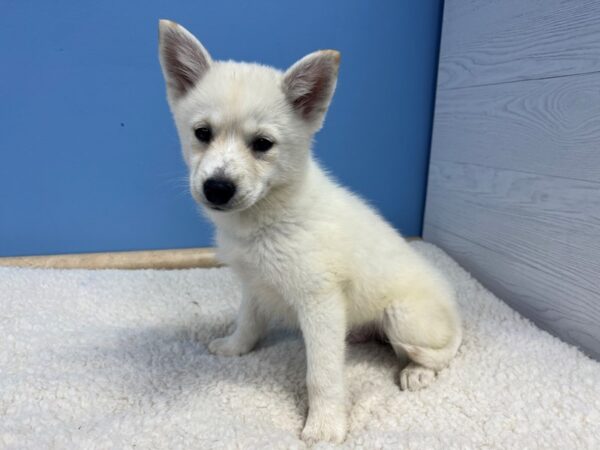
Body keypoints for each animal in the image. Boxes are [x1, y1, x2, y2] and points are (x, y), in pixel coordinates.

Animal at [157, 20, 462, 442]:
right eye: (202, 133)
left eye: (263, 144)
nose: (217, 188)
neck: (267, 217)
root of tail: (455, 308)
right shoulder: (254, 283)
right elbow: (247, 321)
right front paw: (235, 347)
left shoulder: (319, 302)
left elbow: (323, 375)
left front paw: (325, 426)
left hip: (403, 318)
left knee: (442, 353)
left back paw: (418, 372)